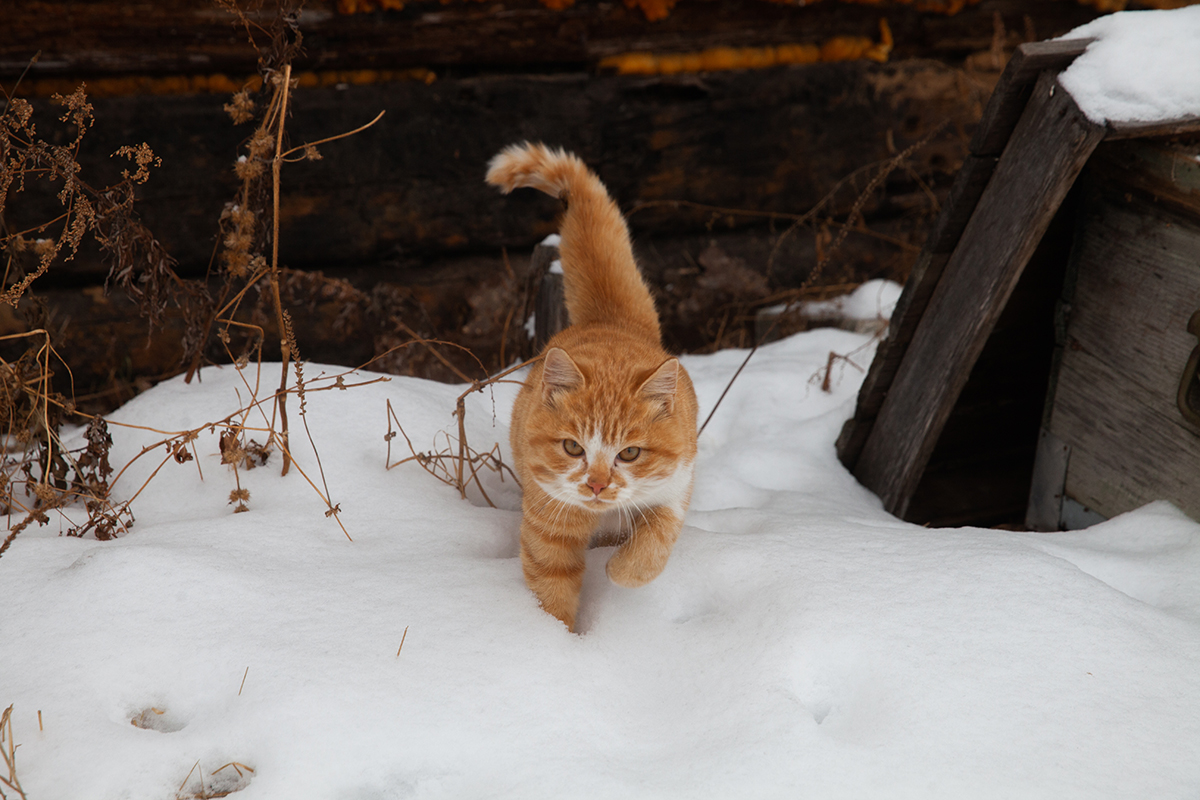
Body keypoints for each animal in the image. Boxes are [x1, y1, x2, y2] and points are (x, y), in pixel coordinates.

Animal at [484, 142, 700, 633]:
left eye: (630, 453)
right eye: (572, 448)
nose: (598, 485)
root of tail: (609, 319)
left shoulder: (674, 487)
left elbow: (654, 543)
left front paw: (620, 571)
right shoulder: (547, 523)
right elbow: (551, 588)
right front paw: (559, 639)